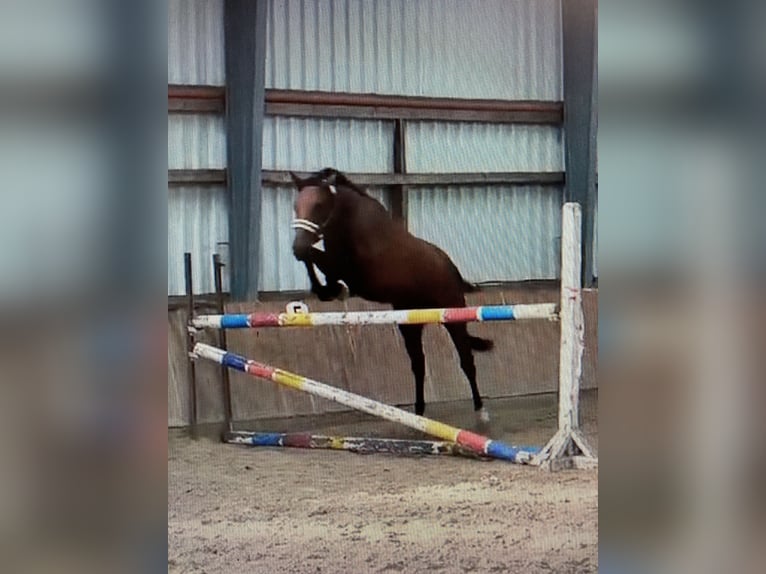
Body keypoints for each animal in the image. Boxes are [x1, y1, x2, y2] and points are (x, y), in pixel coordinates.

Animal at [292, 168, 496, 424]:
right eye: (295, 206)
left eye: (319, 205)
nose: (296, 246)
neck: (350, 224)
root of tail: (450, 268)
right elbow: (315, 262)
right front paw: (326, 290)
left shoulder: (358, 276)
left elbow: (316, 257)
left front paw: (333, 288)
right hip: (409, 323)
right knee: (419, 364)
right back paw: (418, 414)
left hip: (452, 317)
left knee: (466, 360)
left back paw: (481, 411)